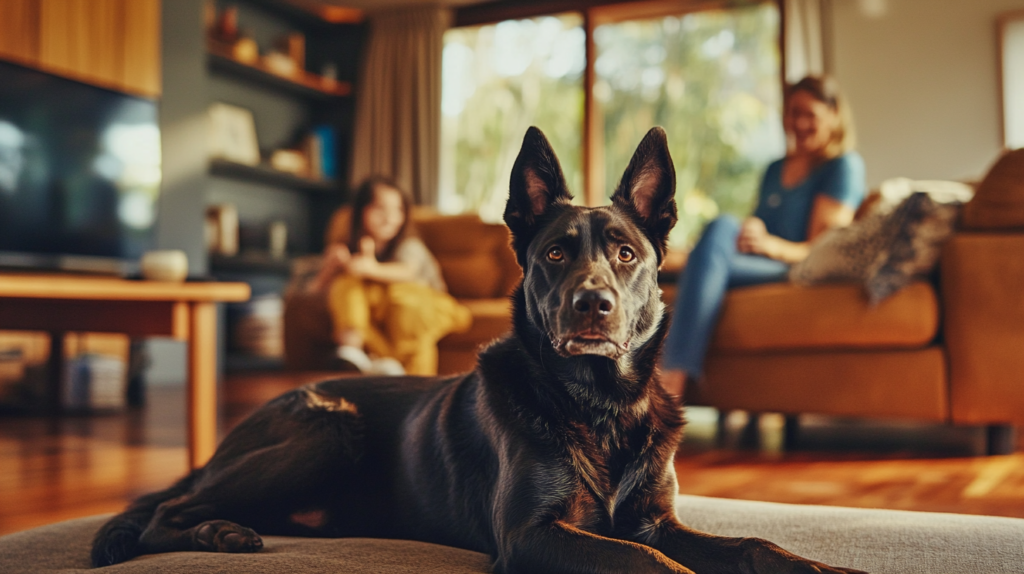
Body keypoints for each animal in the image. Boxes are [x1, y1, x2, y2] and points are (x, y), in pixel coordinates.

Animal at [92, 127, 860, 568]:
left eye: (625, 253)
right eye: (556, 253)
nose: (592, 304)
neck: (598, 406)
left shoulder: (654, 522)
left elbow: (759, 545)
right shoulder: (533, 535)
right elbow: (656, 568)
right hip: (326, 431)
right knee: (161, 516)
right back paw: (217, 535)